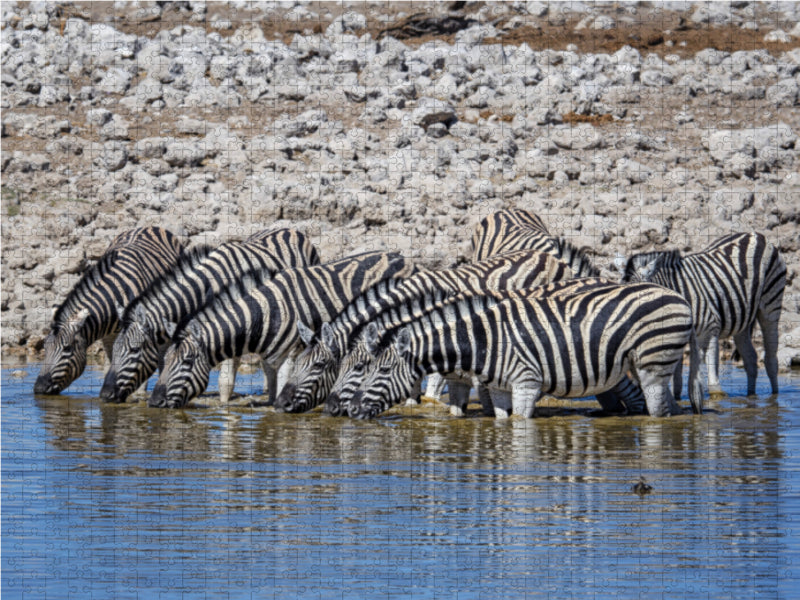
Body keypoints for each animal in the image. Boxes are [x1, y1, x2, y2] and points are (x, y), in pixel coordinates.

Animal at [34, 227, 186, 395]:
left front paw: (138, 395)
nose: (39, 389)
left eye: (67, 348)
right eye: (45, 346)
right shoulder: (107, 336)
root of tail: (150, 227)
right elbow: (112, 363)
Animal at [99, 228, 319, 404]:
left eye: (134, 350)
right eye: (115, 349)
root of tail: (292, 230)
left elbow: (225, 379)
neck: (205, 288)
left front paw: (223, 408)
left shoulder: (235, 322)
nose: (104, 396)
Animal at [149, 251, 414, 408]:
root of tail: (401, 256)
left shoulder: (292, 350)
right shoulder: (270, 353)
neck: (264, 314)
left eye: (186, 362)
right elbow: (259, 382)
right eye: (165, 360)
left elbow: (285, 382)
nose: (153, 402)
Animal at [347, 280, 703, 420]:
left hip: (652, 363)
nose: (351, 411)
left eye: (381, 370)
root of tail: (681, 299)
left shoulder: (526, 384)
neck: (481, 340)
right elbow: (502, 422)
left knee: (656, 412)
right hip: (654, 365)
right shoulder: (500, 388)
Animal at [618, 232, 786, 397]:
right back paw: (751, 396)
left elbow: (713, 382)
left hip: (771, 304)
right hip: (742, 319)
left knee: (771, 359)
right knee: (750, 359)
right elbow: (677, 384)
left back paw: (775, 396)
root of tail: (754, 234)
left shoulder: (711, 330)